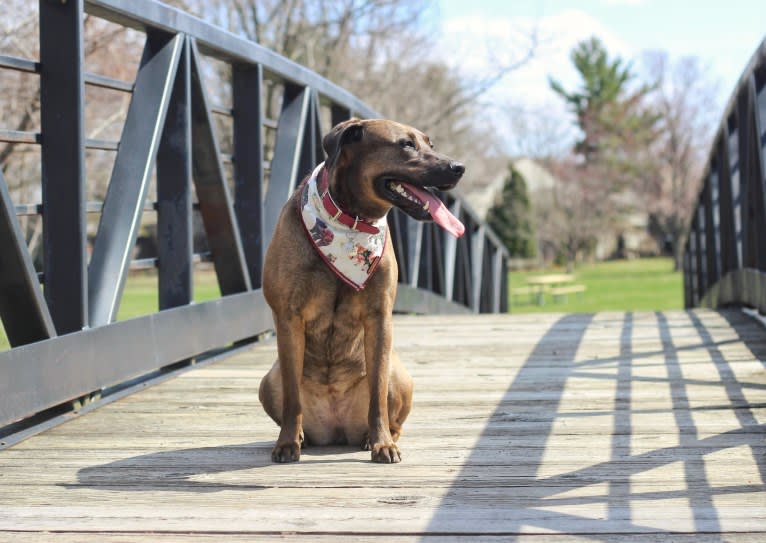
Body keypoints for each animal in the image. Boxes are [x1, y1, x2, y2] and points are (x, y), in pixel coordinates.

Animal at [260, 118, 464, 464]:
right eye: (406, 144)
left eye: (431, 145)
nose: (458, 167)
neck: (350, 220)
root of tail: (336, 428)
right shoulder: (288, 318)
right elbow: (291, 396)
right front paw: (287, 443)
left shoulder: (379, 318)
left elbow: (377, 393)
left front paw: (383, 443)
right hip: (268, 380)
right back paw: (302, 436)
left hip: (400, 374)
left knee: (393, 415)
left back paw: (373, 437)